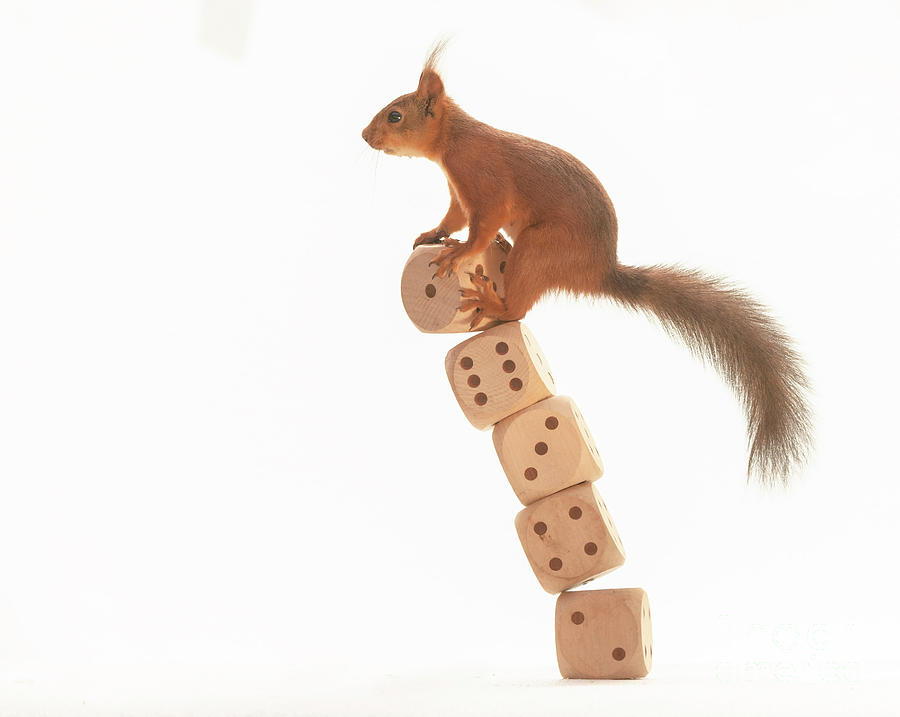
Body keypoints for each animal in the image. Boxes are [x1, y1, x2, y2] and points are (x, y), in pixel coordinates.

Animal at [362, 46, 812, 486]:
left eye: (395, 115)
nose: (365, 136)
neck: (454, 138)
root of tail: (597, 272)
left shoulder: (483, 181)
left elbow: (482, 226)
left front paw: (458, 253)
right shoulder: (459, 193)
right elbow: (454, 219)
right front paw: (432, 235)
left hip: (542, 247)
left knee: (517, 308)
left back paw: (491, 300)